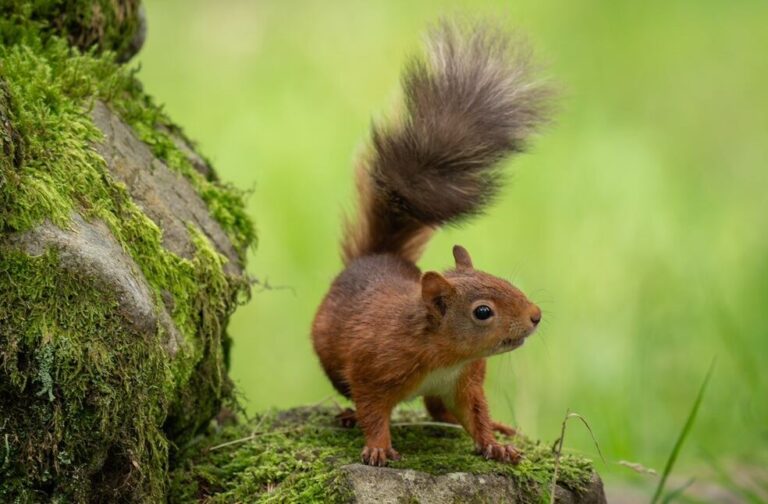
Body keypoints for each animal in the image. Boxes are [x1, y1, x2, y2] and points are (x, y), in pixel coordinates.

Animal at [312, 20, 552, 468]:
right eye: (482, 312)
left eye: (504, 280)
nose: (535, 316)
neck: (445, 355)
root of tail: (377, 255)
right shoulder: (373, 368)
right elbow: (373, 408)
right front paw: (377, 446)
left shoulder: (467, 382)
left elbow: (475, 414)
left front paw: (494, 443)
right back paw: (347, 415)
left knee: (439, 410)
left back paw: (499, 427)